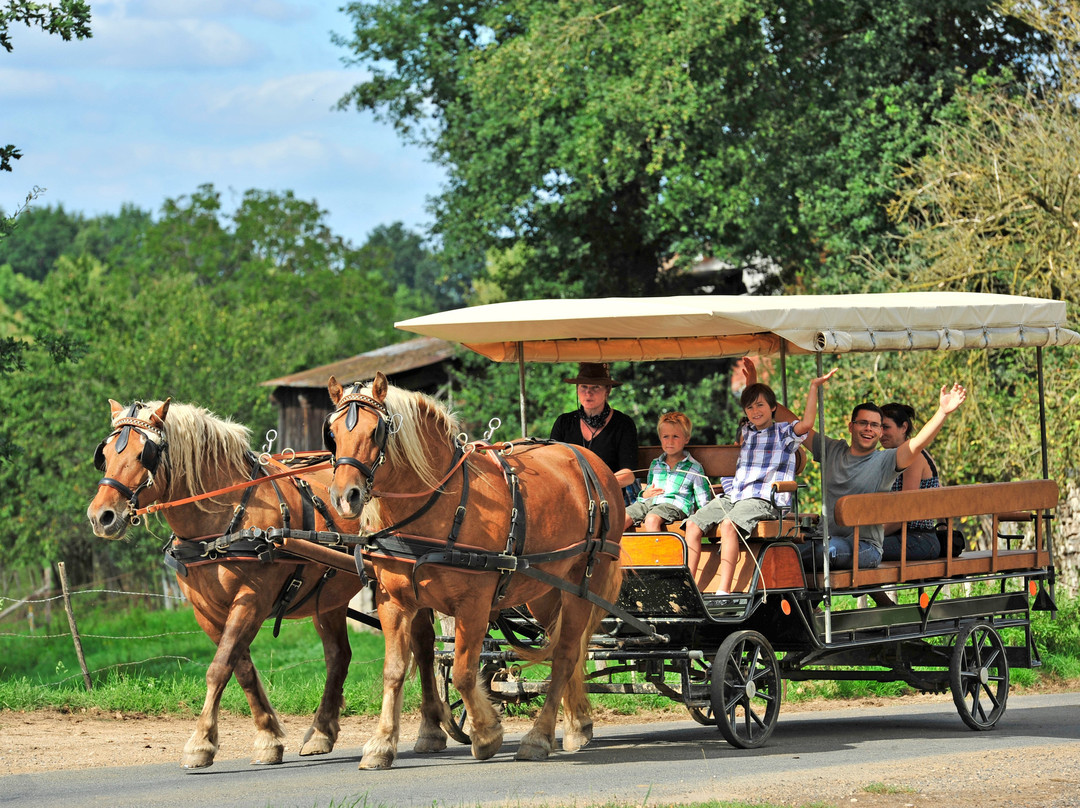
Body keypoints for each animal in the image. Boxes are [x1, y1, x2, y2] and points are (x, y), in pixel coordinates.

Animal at [86, 397, 365, 769]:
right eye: (105, 454)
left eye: (144, 454)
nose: (101, 516)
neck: (222, 519)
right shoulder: (206, 610)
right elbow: (241, 667)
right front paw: (268, 736)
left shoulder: (252, 599)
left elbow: (219, 667)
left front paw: (200, 742)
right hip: (328, 598)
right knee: (338, 656)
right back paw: (321, 732)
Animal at [321, 375, 626, 769]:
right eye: (332, 433)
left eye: (376, 432)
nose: (346, 498)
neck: (441, 503)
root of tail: (593, 463)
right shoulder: (395, 603)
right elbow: (395, 671)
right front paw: (381, 744)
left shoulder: (474, 604)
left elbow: (465, 673)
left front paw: (486, 733)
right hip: (546, 594)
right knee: (566, 652)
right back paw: (577, 725)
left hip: (583, 585)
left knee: (564, 657)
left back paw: (539, 737)